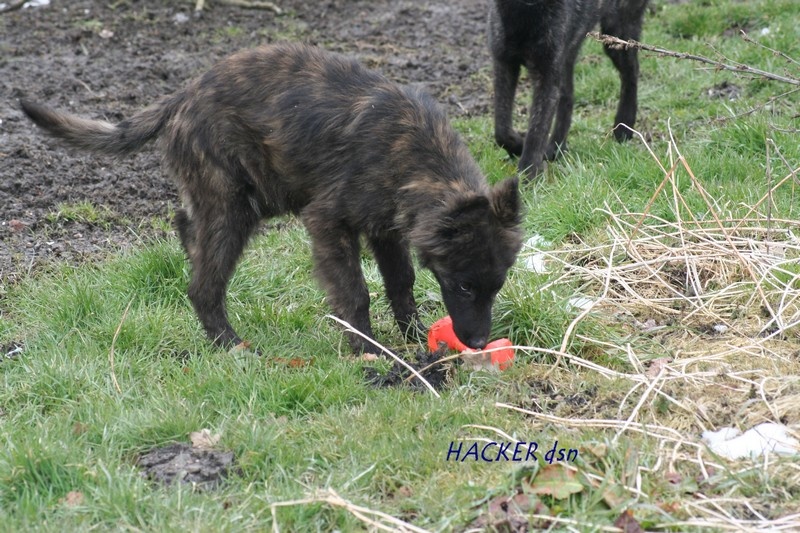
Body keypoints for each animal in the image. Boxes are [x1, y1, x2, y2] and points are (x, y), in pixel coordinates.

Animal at [21, 43, 523, 354]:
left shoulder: (387, 229)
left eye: (497, 286)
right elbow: (355, 292)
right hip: (237, 208)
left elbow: (401, 283)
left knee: (186, 226)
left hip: (247, 199)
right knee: (203, 286)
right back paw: (230, 346)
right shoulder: (328, 221)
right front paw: (369, 350)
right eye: (463, 286)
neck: (412, 153)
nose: (479, 344)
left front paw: (414, 336)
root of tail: (182, 96)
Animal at [489, 0, 649, 178]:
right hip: (570, 53)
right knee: (567, 97)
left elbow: (536, 132)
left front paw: (528, 176)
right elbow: (501, 128)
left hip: (618, 35)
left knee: (631, 74)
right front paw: (518, 146)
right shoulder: (504, 64)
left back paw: (624, 125)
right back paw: (556, 148)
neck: (526, 12)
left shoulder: (547, 76)